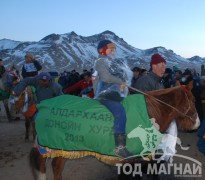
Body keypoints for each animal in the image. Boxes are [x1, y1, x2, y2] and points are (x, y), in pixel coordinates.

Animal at [29, 84, 199, 180]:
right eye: (193, 99)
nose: (197, 123)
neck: (149, 113)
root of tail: (41, 106)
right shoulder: (129, 161)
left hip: (62, 147)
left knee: (56, 167)